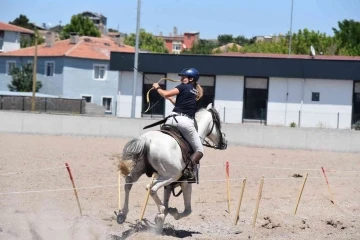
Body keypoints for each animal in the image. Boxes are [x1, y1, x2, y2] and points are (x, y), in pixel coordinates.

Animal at [116, 103, 226, 231]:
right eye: (218, 123)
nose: (224, 142)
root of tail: (147, 140)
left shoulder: (168, 186)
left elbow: (167, 201)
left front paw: (161, 222)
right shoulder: (186, 183)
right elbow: (187, 210)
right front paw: (170, 213)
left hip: (142, 170)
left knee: (129, 182)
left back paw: (122, 214)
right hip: (171, 175)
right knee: (151, 188)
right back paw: (160, 211)